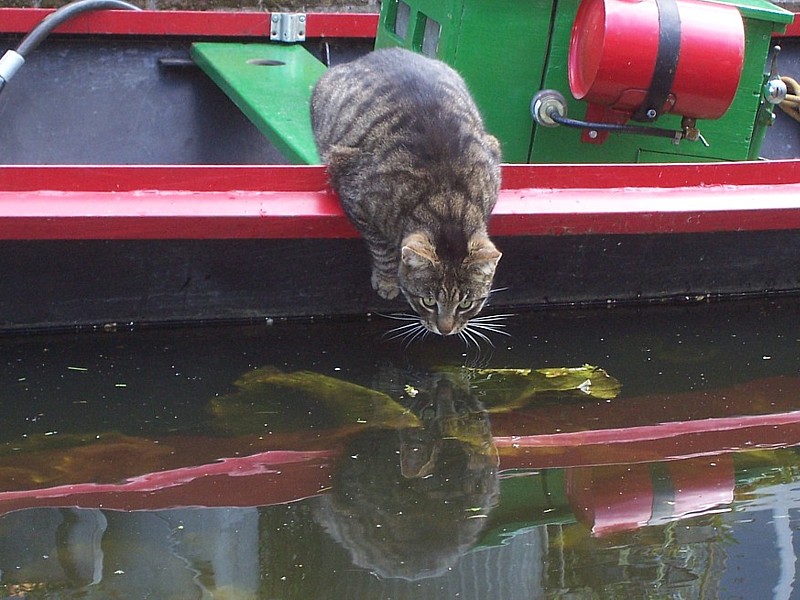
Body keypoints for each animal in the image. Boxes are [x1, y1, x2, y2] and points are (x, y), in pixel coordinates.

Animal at [310, 47, 504, 338]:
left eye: (466, 304)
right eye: (429, 301)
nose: (445, 330)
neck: (447, 202)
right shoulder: (355, 194)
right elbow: (383, 250)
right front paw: (387, 280)